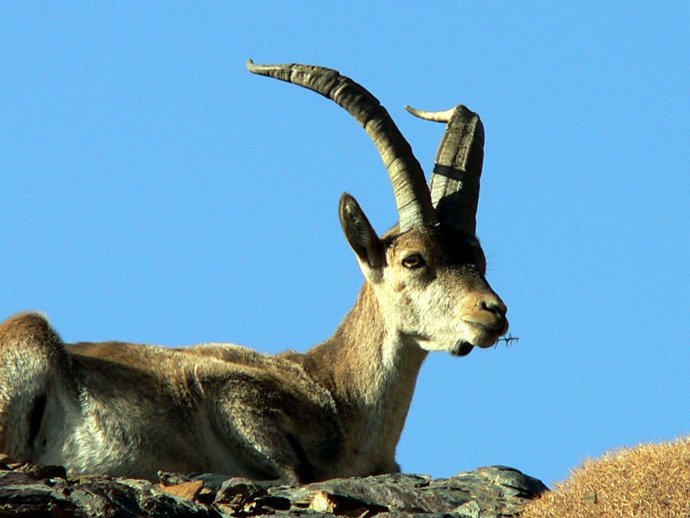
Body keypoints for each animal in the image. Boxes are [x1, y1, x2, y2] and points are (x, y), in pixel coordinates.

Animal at [0, 61, 509, 483]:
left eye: (479, 259)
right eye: (413, 259)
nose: (494, 311)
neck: (338, 392)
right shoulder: (229, 394)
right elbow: (287, 469)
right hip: (28, 339)